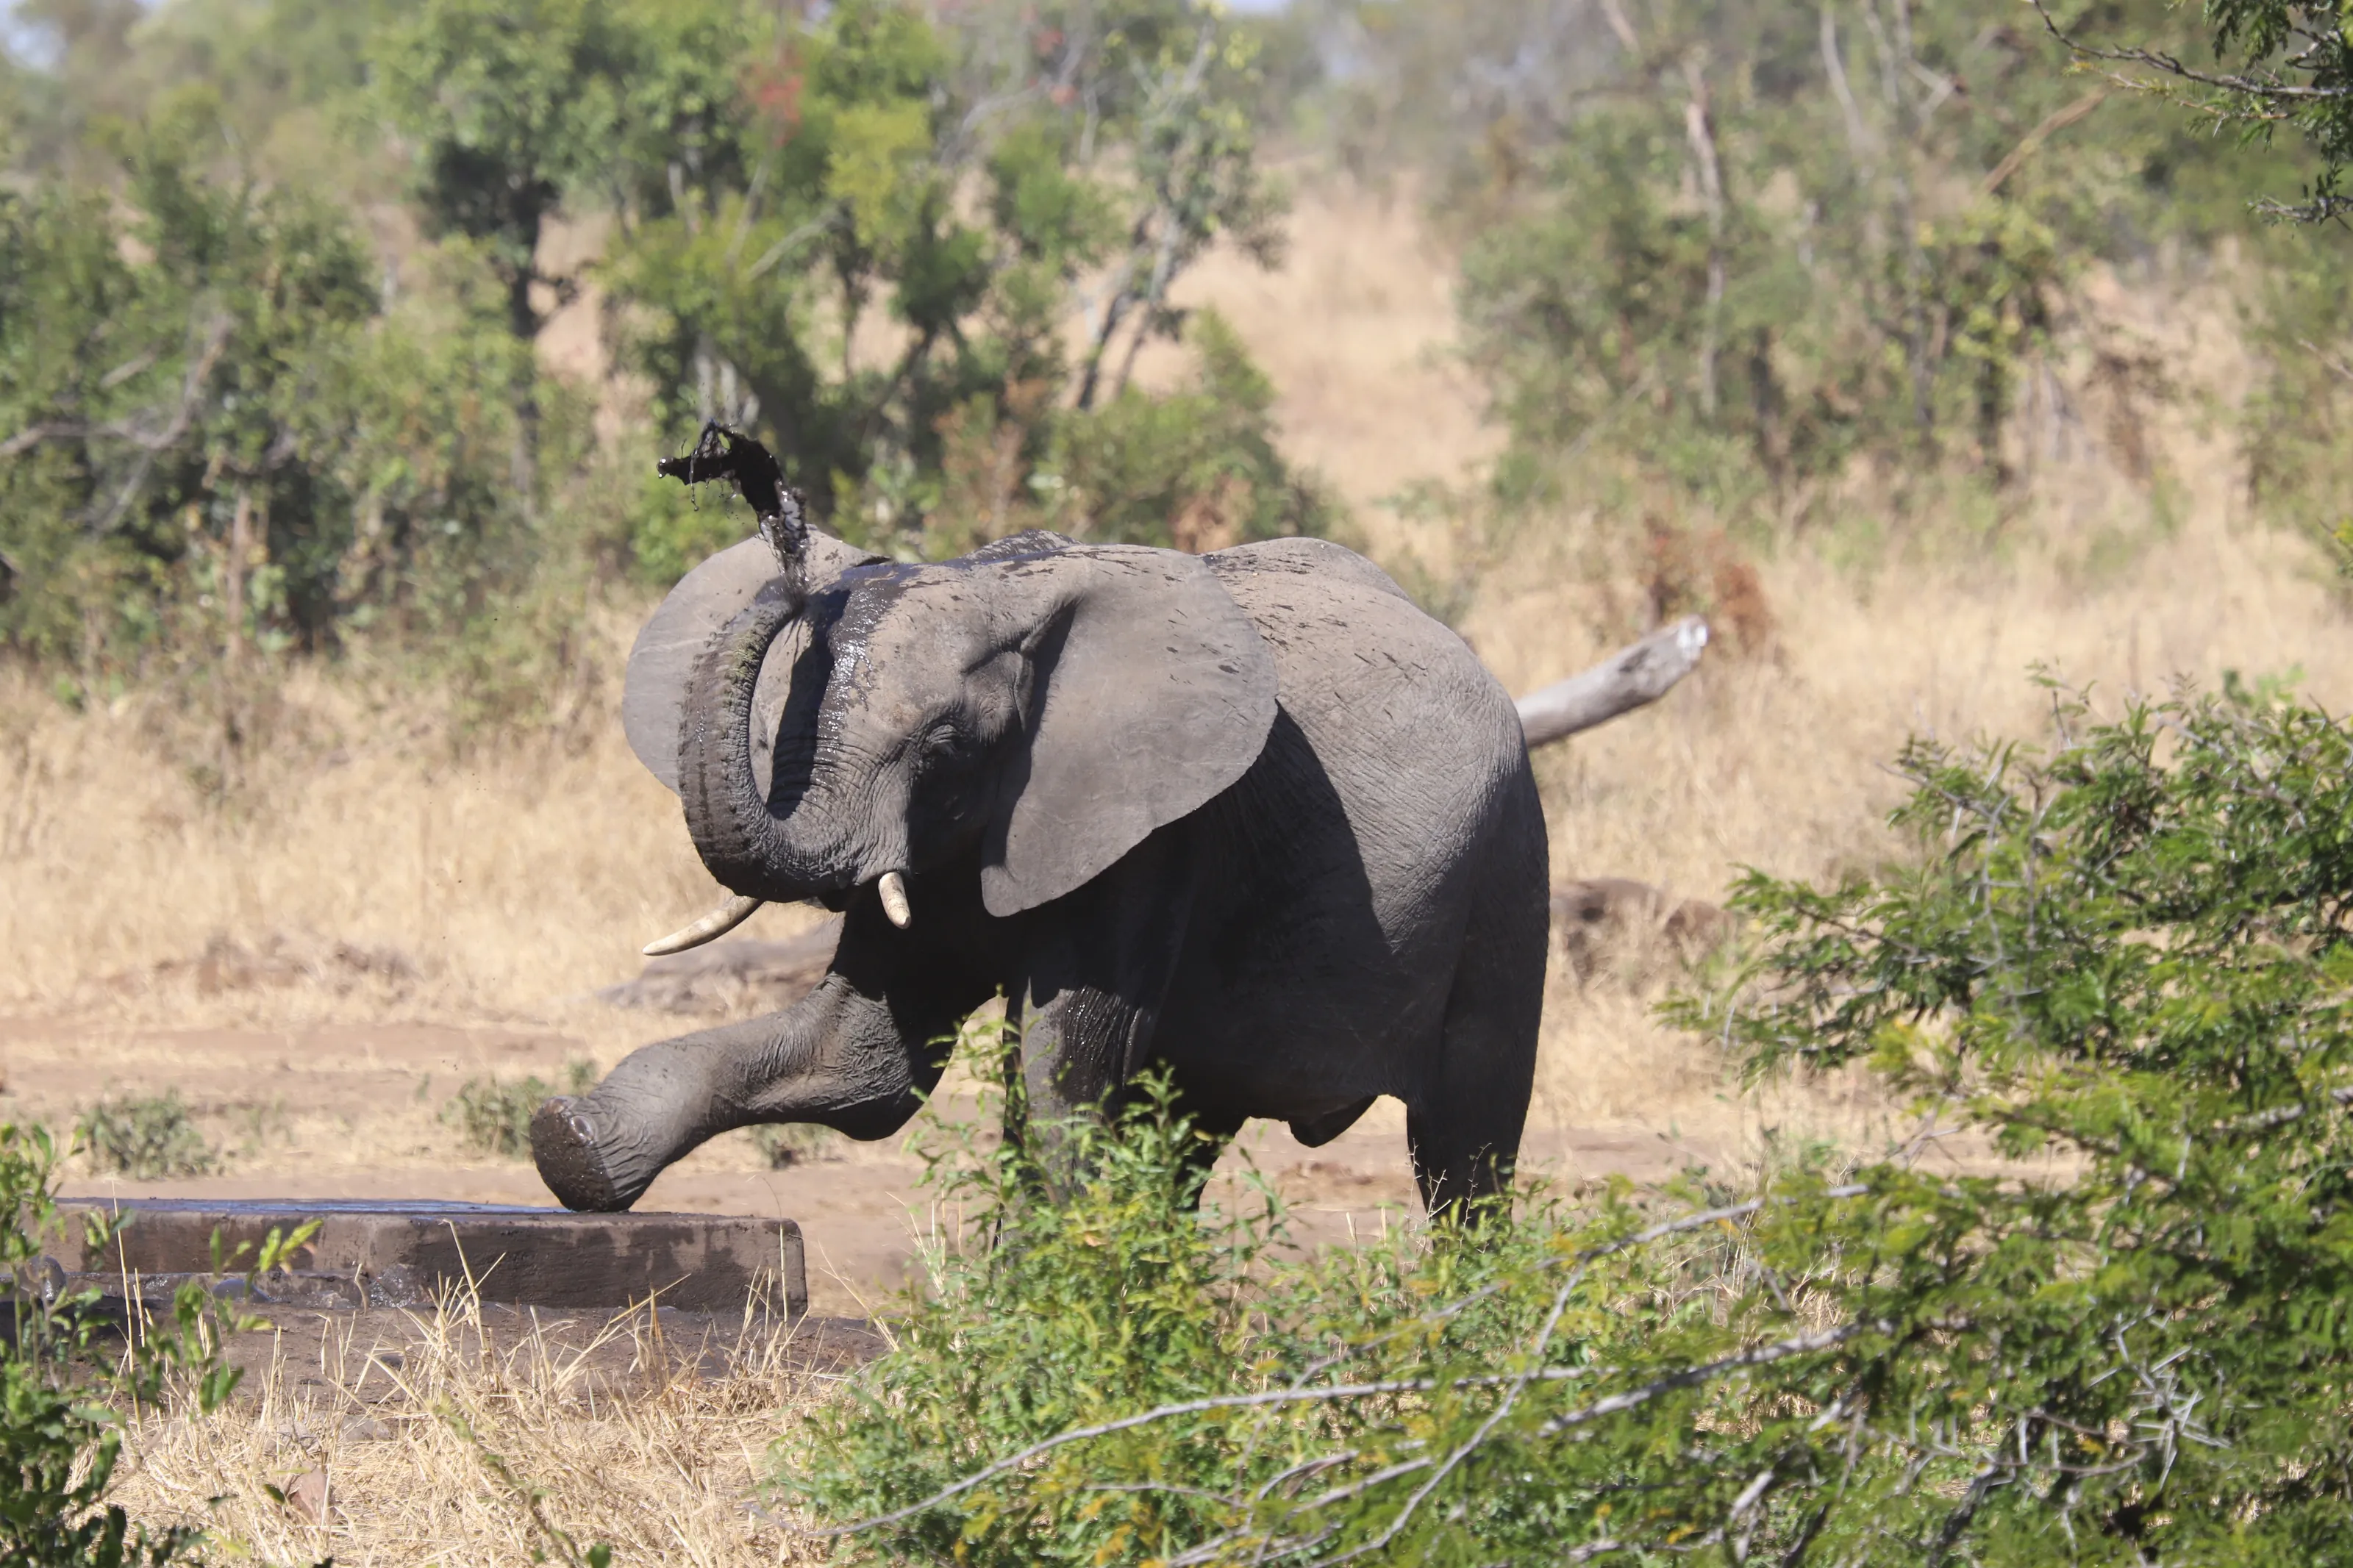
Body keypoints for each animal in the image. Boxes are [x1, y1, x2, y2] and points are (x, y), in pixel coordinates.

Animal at [531, 518, 1550, 1220]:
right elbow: (862, 1063)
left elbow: (1060, 1078)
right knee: (1188, 1132)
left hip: (1509, 859)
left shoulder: (1156, 838)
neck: (1002, 589)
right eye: (780, 721)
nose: (798, 554)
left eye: (939, 745)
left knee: (1465, 1148)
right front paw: (569, 1144)